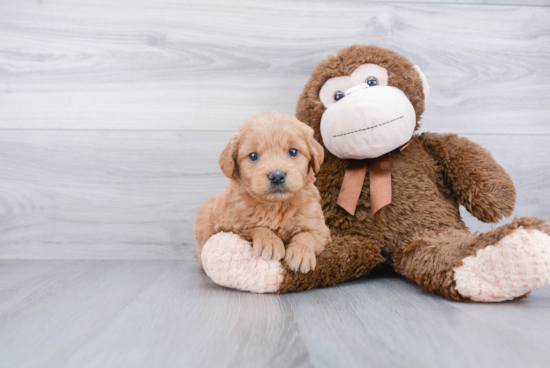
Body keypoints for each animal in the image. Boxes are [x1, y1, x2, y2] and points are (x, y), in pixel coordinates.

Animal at [195, 111, 332, 274]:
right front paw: (270, 241)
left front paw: (301, 253)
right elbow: (255, 228)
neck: (275, 206)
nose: (277, 176)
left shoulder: (319, 227)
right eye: (253, 156)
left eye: (293, 151)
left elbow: (308, 235)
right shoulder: (230, 226)